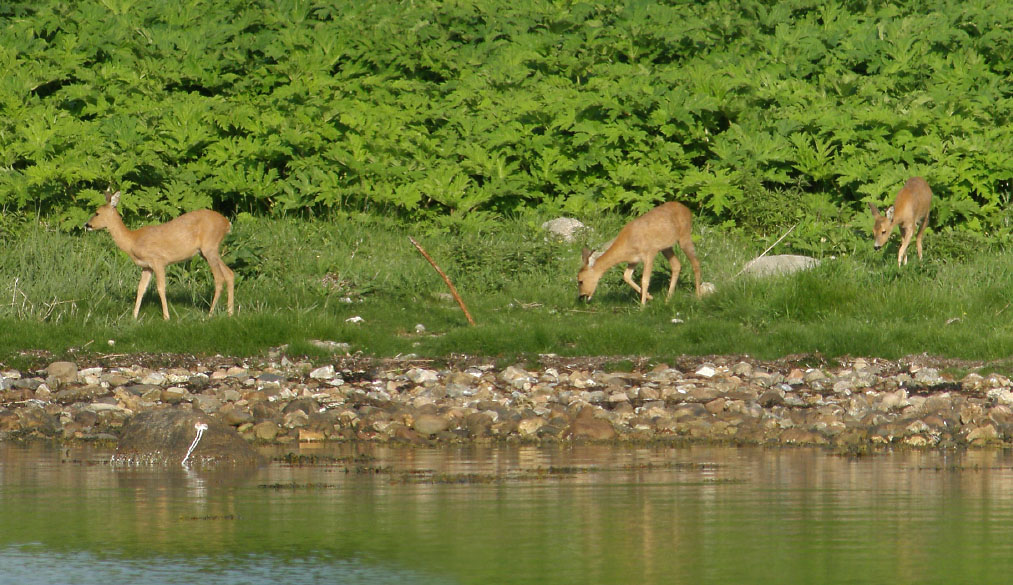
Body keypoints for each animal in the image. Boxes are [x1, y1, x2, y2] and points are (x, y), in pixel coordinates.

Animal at [85, 189, 235, 320]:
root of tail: (227, 224)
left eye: (97, 213)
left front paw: (166, 317)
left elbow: (161, 288)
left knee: (219, 278)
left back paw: (210, 314)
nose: (87, 225)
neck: (133, 240)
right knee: (229, 273)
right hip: (208, 251)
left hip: (210, 248)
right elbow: (141, 288)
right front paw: (134, 316)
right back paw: (230, 312)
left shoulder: (158, 261)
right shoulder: (146, 266)